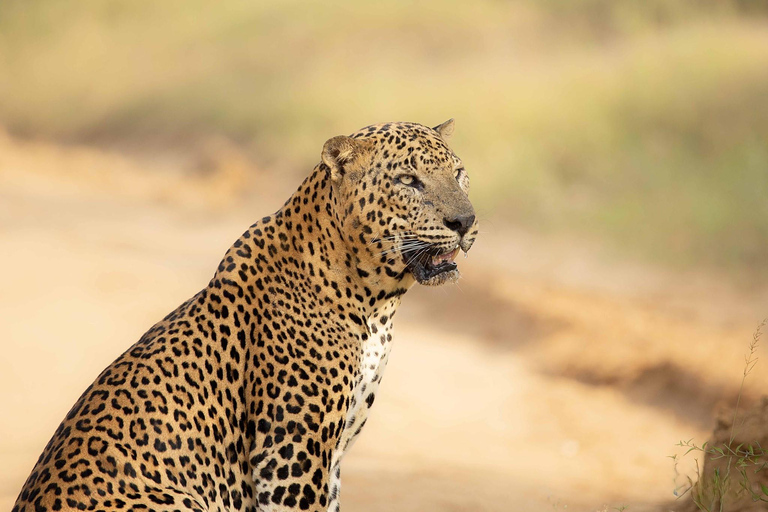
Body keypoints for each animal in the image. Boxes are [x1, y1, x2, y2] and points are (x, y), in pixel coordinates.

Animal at [15, 120, 476, 512]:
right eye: (408, 181)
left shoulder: (332, 454)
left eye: (458, 174)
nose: (465, 220)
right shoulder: (291, 455)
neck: (376, 302)